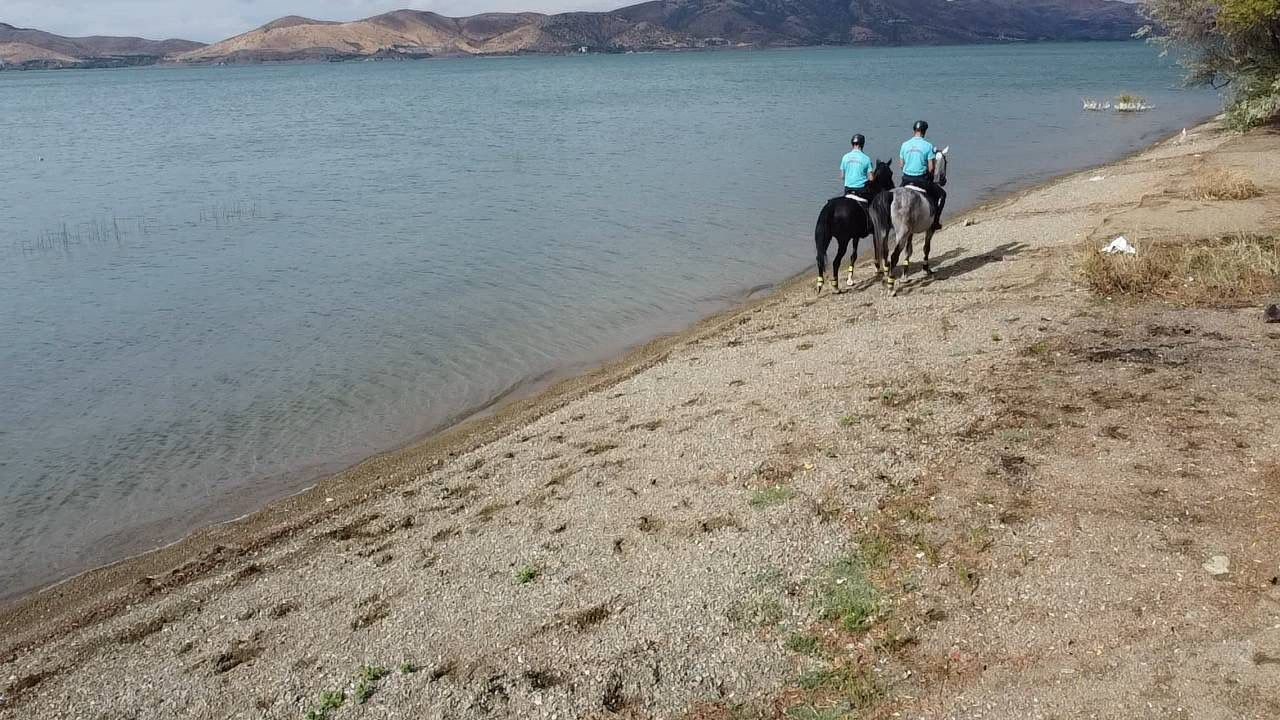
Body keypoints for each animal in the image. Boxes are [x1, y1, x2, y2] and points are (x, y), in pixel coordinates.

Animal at [814, 161, 896, 293]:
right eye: (891, 172)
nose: (892, 186)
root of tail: (830, 208)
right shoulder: (877, 231)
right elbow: (879, 249)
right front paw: (881, 269)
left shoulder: (856, 236)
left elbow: (854, 255)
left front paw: (850, 278)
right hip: (843, 241)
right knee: (835, 262)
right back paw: (835, 286)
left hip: (825, 239)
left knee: (820, 259)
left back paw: (820, 284)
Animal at [870, 147, 952, 293]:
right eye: (946, 161)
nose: (943, 180)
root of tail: (890, 195)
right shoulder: (929, 229)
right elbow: (926, 248)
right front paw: (926, 269)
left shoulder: (910, 232)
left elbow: (909, 251)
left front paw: (905, 276)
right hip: (901, 233)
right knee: (894, 256)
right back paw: (891, 286)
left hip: (884, 231)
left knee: (885, 252)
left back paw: (885, 279)